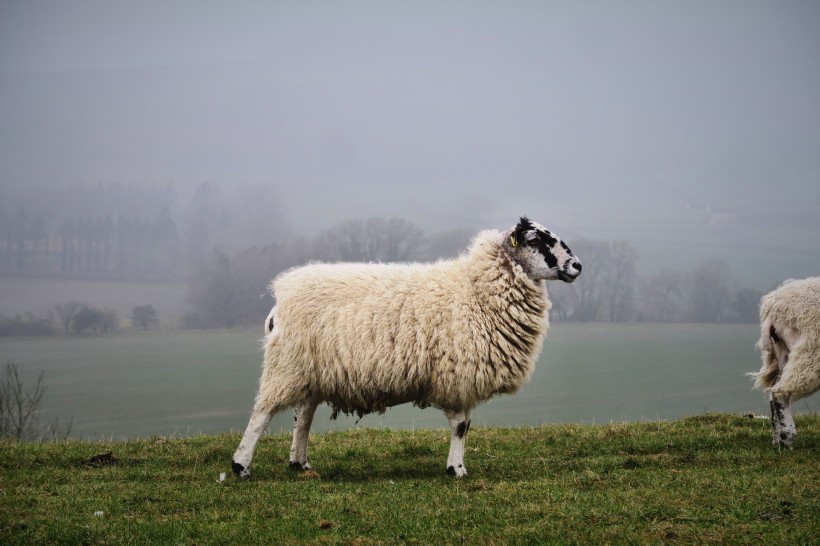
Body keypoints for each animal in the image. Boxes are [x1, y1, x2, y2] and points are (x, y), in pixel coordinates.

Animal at [229, 217, 584, 476]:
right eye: (536, 240)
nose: (577, 266)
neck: (475, 291)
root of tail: (278, 301)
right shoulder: (455, 374)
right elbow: (460, 427)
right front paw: (456, 470)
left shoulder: (465, 378)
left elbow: (466, 427)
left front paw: (458, 466)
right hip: (286, 364)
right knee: (262, 413)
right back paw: (240, 466)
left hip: (312, 370)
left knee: (302, 417)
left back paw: (299, 463)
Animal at [748, 276, 820, 446]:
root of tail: (773, 307)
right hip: (810, 351)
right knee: (779, 391)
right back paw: (788, 438)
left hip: (783, 351)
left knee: (774, 392)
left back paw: (777, 439)